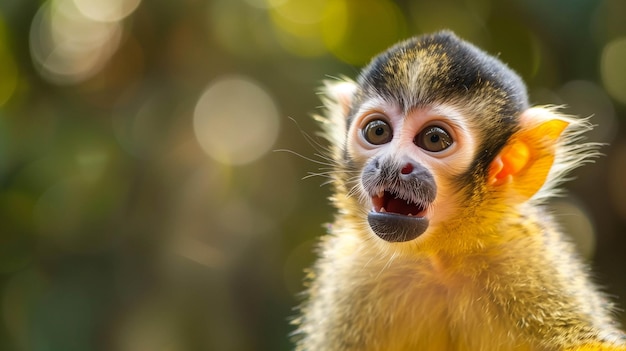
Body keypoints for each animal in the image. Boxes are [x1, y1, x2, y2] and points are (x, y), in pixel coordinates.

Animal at [292, 31, 624, 350]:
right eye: (378, 131)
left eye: (434, 139)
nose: (391, 165)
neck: (437, 257)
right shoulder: (351, 265)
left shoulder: (525, 253)